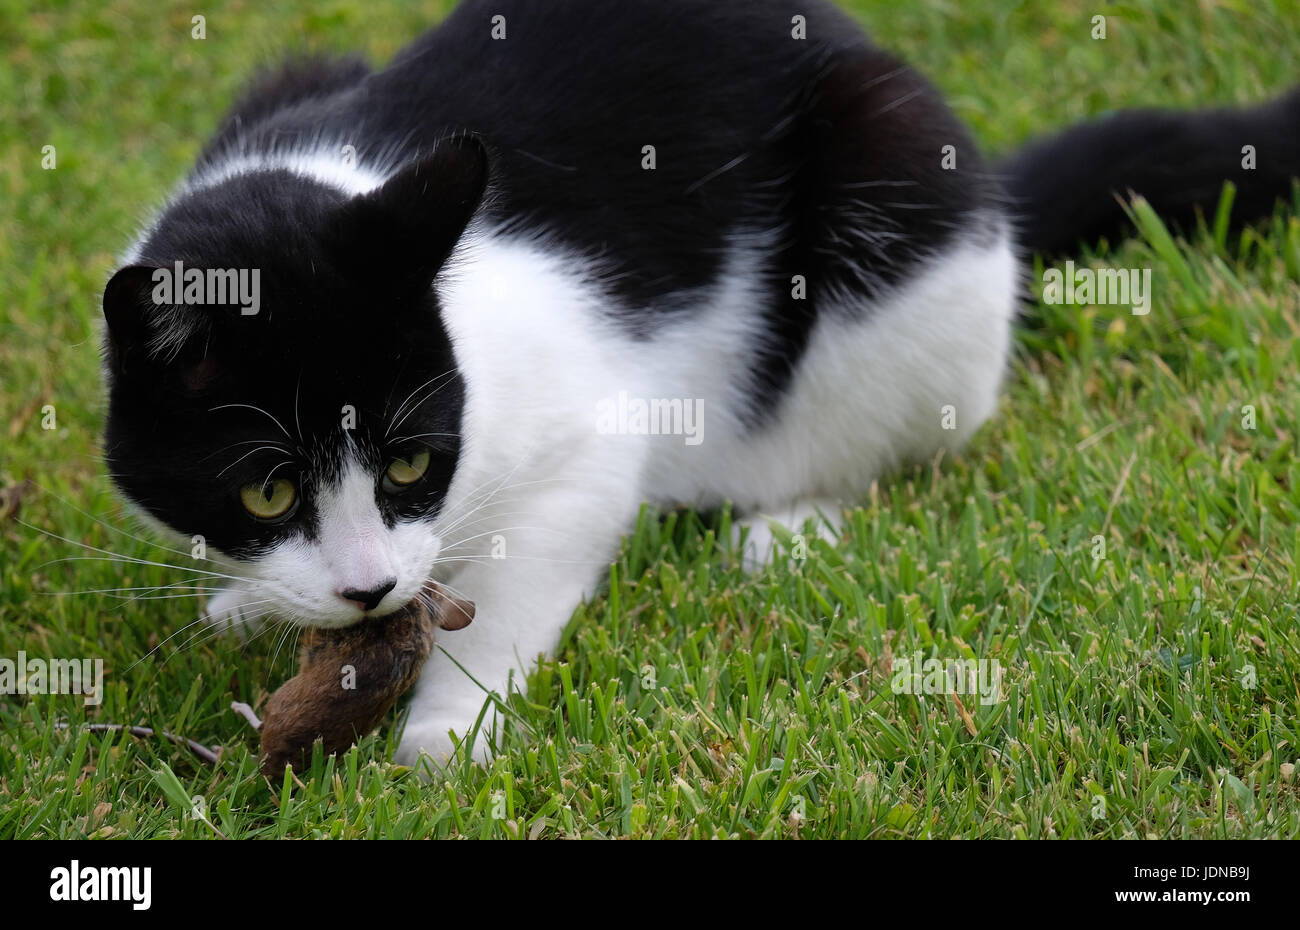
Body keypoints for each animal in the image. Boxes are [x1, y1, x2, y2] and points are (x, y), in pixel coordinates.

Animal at [104, 0, 1300, 764]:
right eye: (267, 490)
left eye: (407, 463)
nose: (369, 589)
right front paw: (252, 605)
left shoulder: (588, 438)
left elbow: (522, 585)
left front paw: (445, 736)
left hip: (899, 185)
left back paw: (789, 527)